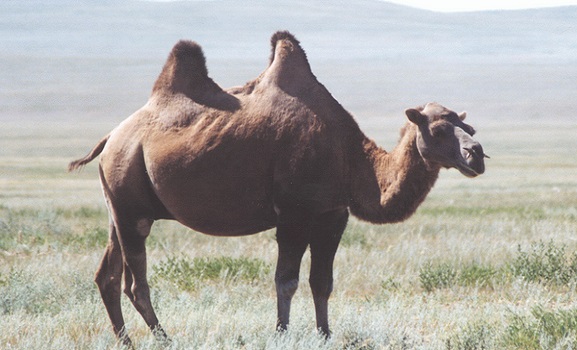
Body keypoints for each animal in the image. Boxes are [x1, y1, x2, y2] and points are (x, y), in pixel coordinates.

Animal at [70, 31, 488, 346]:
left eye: (468, 127)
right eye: (437, 129)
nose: (477, 154)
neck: (350, 157)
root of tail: (111, 138)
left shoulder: (333, 215)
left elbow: (322, 282)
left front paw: (325, 334)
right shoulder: (293, 214)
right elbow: (285, 281)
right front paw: (282, 333)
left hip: (120, 207)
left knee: (108, 276)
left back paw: (126, 340)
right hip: (129, 195)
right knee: (135, 282)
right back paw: (163, 338)